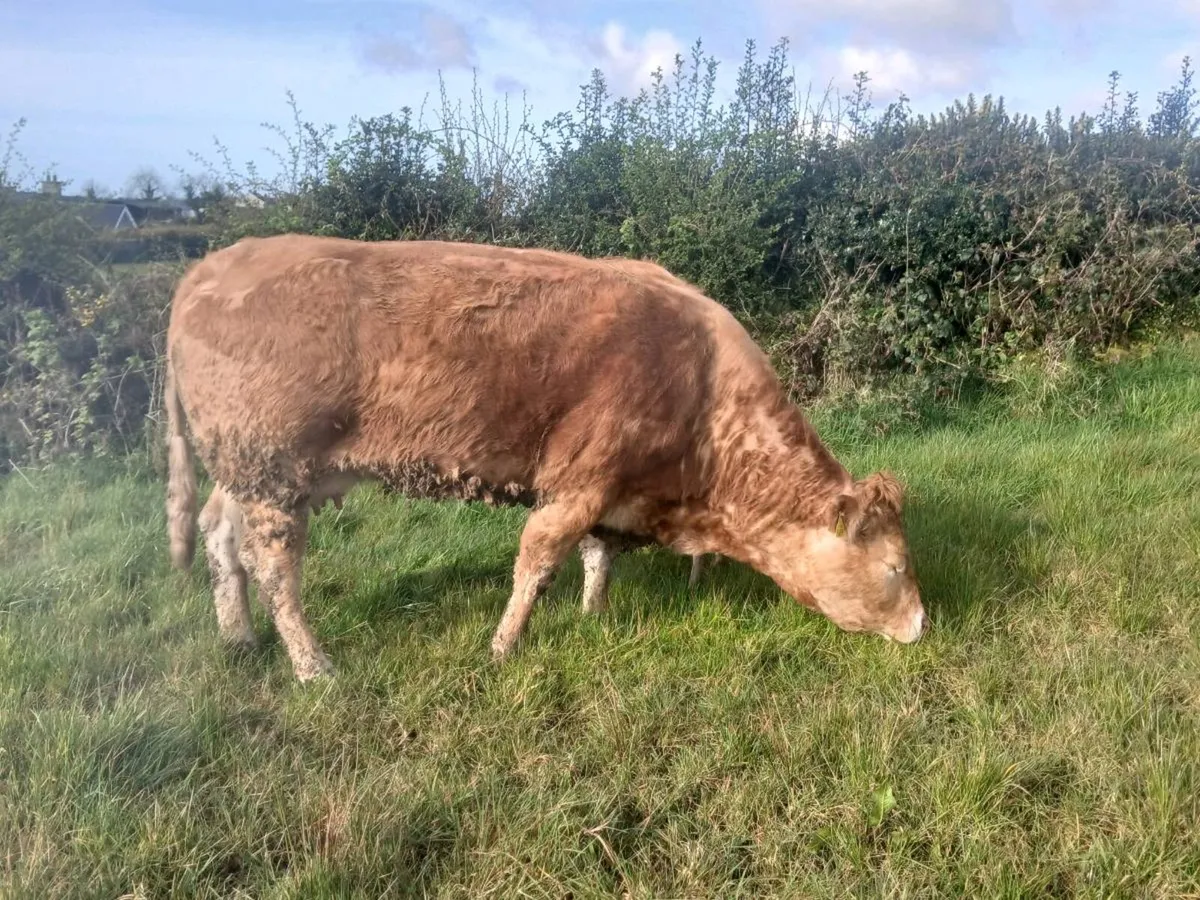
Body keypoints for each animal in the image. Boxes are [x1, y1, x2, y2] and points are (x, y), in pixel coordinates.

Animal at [164, 234, 926, 682]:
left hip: (245, 471)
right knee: (274, 568)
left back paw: (238, 639)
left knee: (218, 535)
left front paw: (594, 615)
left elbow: (598, 556)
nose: (923, 624)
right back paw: (312, 664)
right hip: (271, 470)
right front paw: (504, 647)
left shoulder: (613, 490)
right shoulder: (578, 481)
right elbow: (537, 562)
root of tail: (210, 265)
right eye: (894, 567)